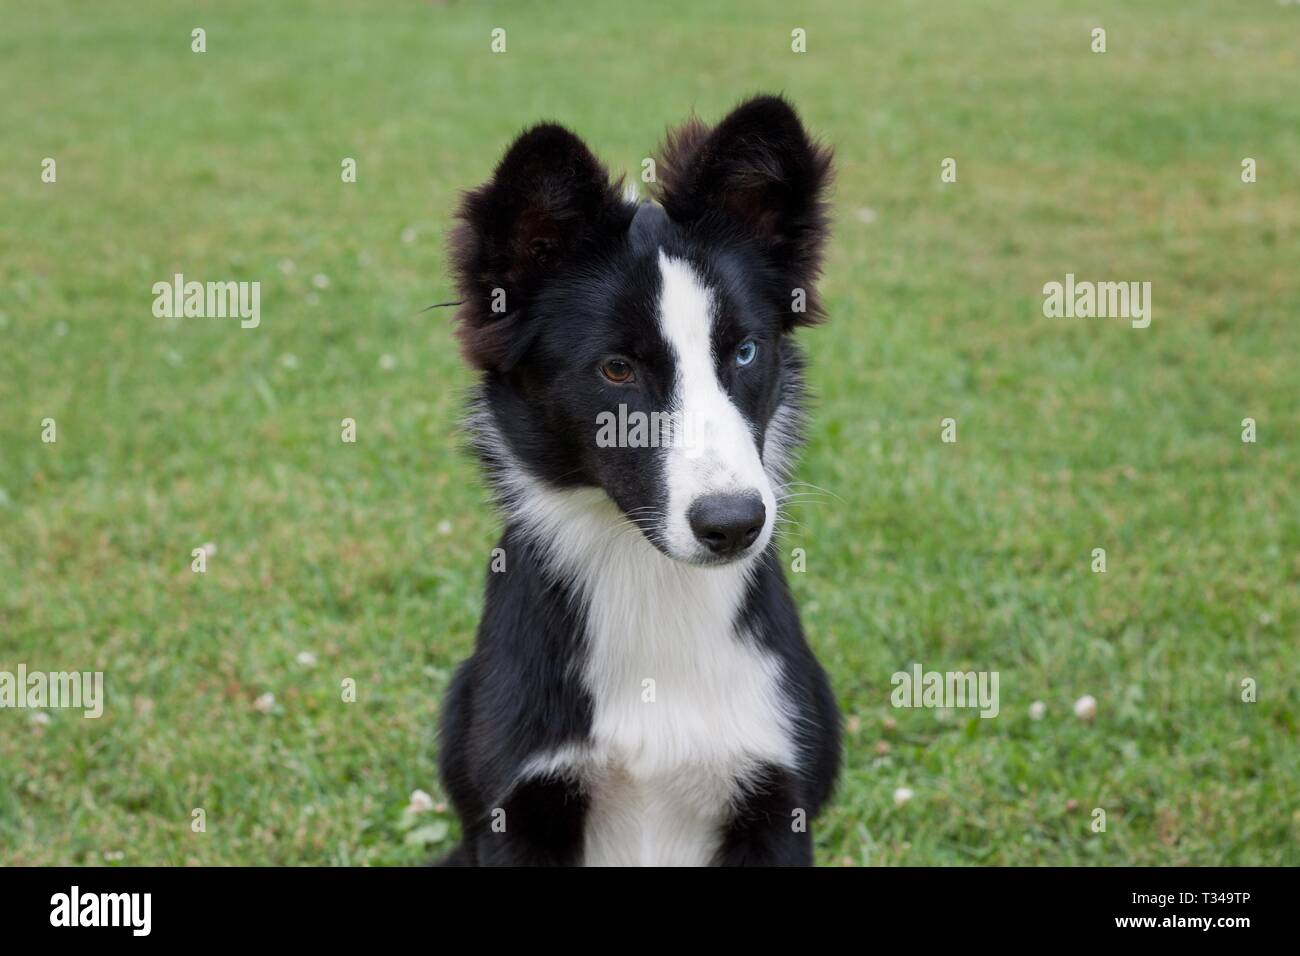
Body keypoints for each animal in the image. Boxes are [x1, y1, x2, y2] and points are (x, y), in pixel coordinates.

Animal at [439, 97, 842, 868]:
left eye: (745, 351)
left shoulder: (778, 802)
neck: (649, 581)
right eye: (617, 369)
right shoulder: (516, 811)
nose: (733, 524)